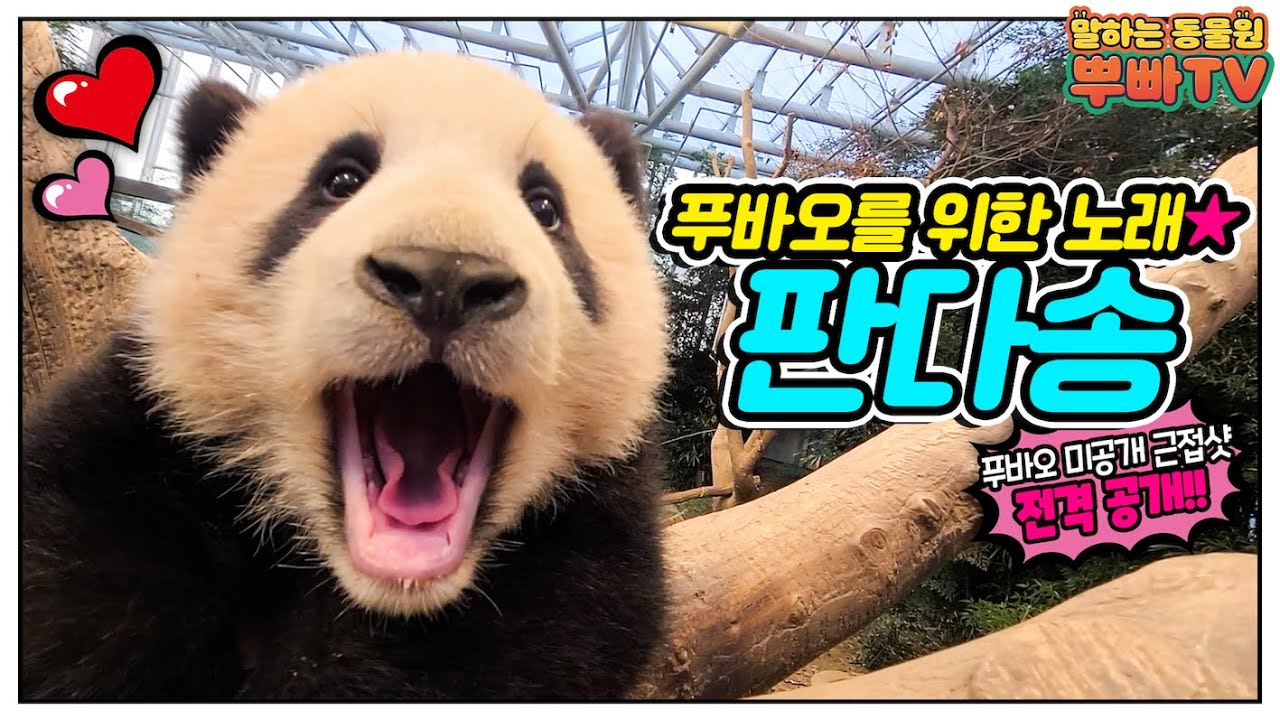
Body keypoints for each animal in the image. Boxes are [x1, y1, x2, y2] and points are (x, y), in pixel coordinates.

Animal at [21, 50, 672, 700]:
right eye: (341, 179)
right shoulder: (149, 431)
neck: (389, 590)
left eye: (545, 206)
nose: (445, 275)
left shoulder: (589, 529)